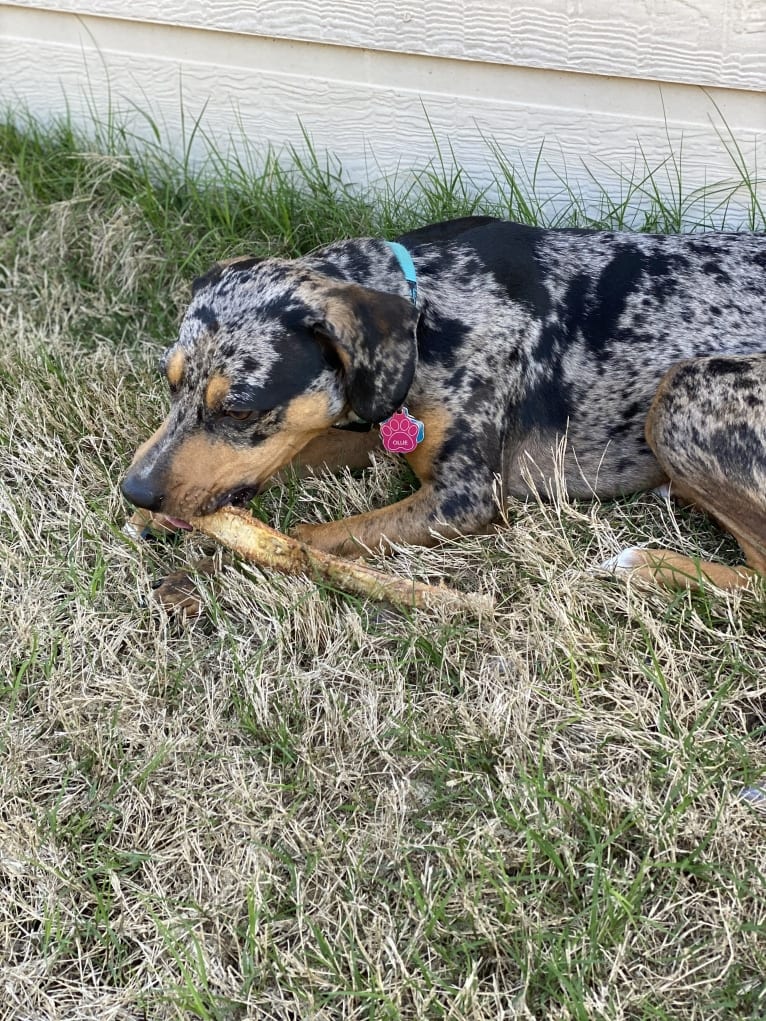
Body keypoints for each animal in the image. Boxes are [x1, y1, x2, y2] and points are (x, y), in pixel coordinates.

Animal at [123, 211, 763, 600]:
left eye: (240, 409)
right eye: (171, 382)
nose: (135, 491)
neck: (428, 311)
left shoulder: (463, 498)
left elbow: (308, 540)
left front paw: (201, 573)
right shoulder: (367, 420)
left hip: (684, 391)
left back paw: (647, 564)